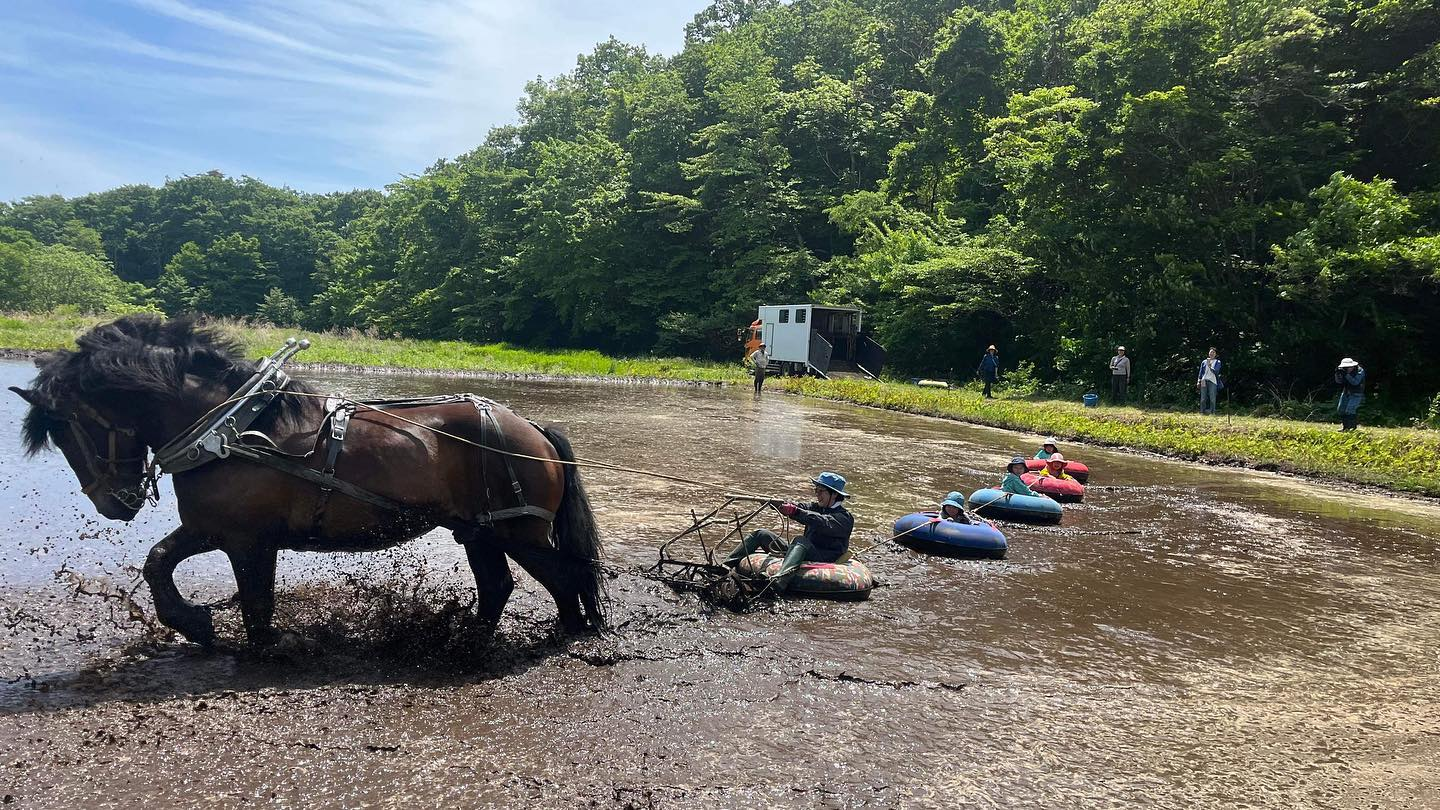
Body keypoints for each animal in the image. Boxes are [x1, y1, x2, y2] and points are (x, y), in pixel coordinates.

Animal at [7, 312, 601, 645]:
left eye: (67, 430)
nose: (113, 504)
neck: (235, 427)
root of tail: (532, 429)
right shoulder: (213, 529)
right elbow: (158, 562)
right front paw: (193, 624)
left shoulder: (246, 539)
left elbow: (255, 605)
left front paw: (264, 644)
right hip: (480, 531)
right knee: (503, 585)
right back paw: (469, 641)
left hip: (517, 530)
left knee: (569, 575)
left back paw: (571, 635)